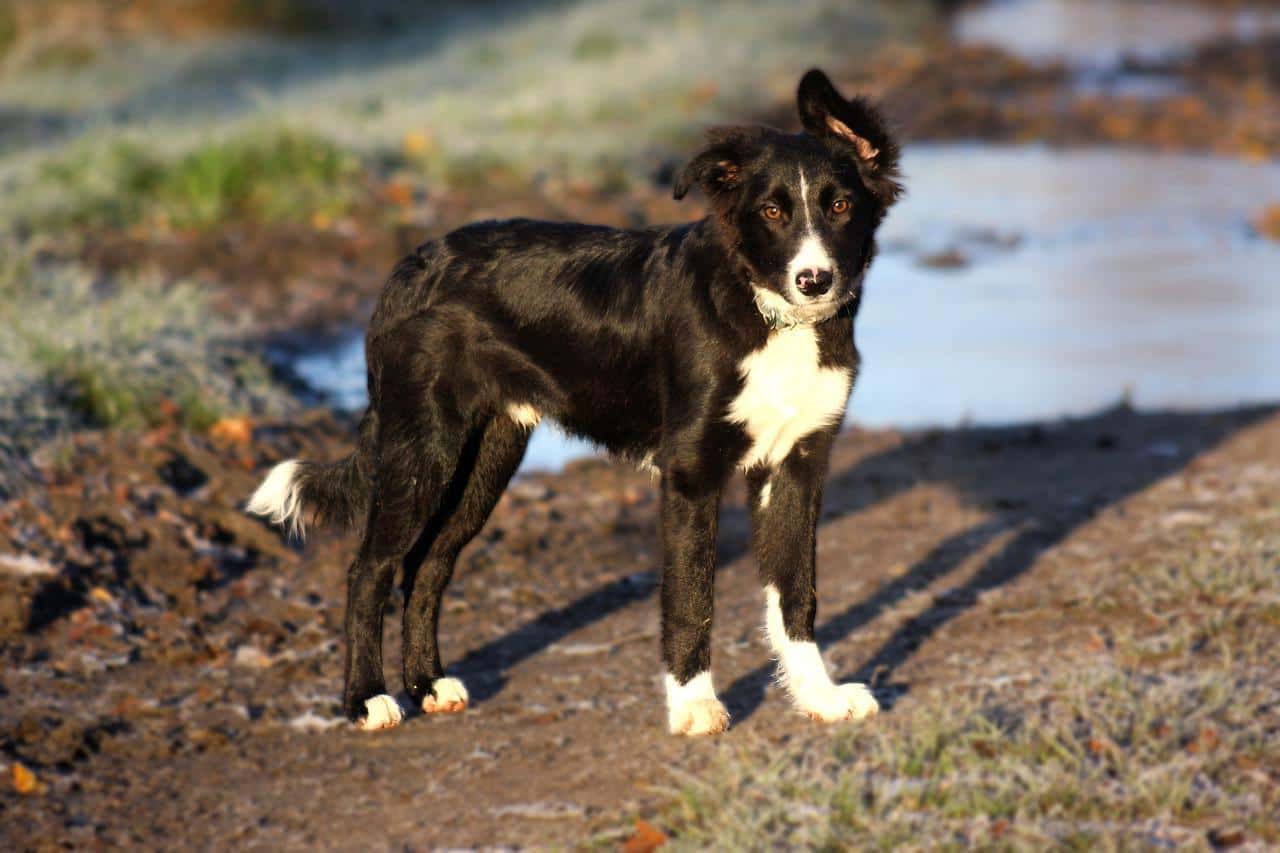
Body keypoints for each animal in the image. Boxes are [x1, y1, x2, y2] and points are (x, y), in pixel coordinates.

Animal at [249, 69, 906, 732]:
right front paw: (694, 705)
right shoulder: (690, 472)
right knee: (371, 568)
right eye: (771, 211)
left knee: (428, 564)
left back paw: (427, 684)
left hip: (485, 459)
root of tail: (409, 268)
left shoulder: (797, 464)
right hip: (422, 450)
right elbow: (692, 594)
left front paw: (819, 696)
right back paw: (366, 698)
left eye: (841, 206)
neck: (767, 314)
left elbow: (797, 594)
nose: (814, 281)